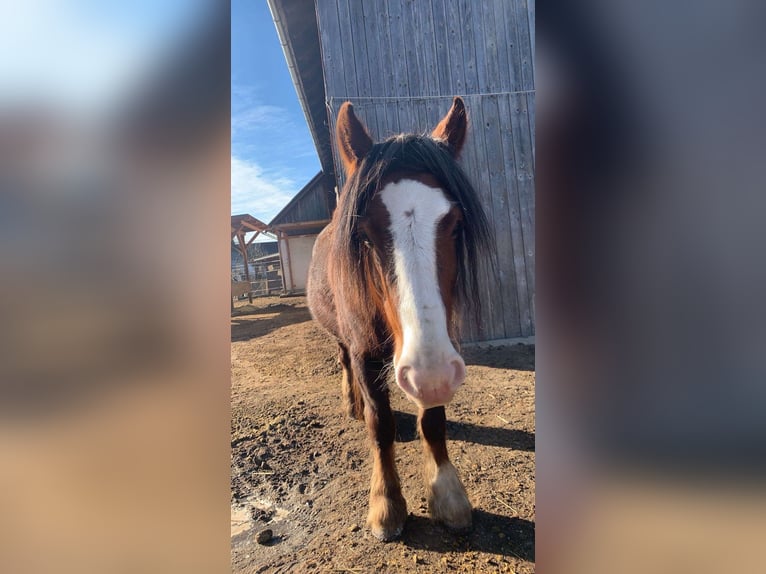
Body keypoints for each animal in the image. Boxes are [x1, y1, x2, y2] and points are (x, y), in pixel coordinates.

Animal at [306, 97, 492, 544]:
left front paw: (447, 494)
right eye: (364, 235)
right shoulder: (365, 353)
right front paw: (386, 504)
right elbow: (381, 424)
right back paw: (351, 403)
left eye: (455, 224)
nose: (429, 371)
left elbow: (434, 420)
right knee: (344, 366)